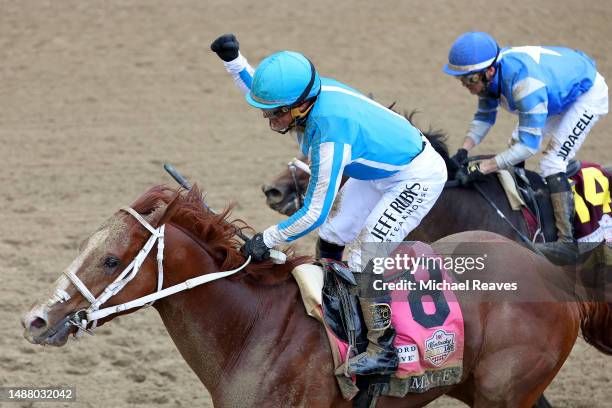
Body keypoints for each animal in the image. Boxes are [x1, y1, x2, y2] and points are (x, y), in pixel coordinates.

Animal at [21, 186, 608, 408]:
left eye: (110, 260)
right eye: (85, 245)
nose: (35, 319)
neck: (252, 332)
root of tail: (556, 278)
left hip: (502, 395)